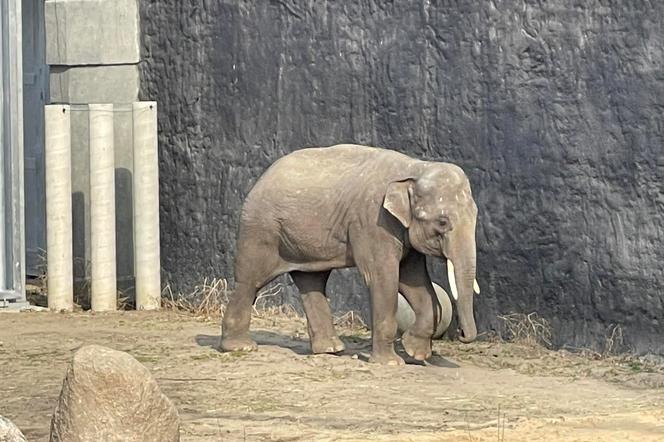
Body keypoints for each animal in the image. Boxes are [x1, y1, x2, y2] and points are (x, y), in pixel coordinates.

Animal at [220, 145, 480, 366]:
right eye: (443, 222)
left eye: (476, 214)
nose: (461, 333)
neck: (414, 167)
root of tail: (261, 177)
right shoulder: (372, 223)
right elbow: (384, 278)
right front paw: (391, 363)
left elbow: (415, 281)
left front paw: (417, 353)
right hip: (261, 230)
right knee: (251, 280)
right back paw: (240, 347)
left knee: (312, 281)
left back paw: (330, 349)